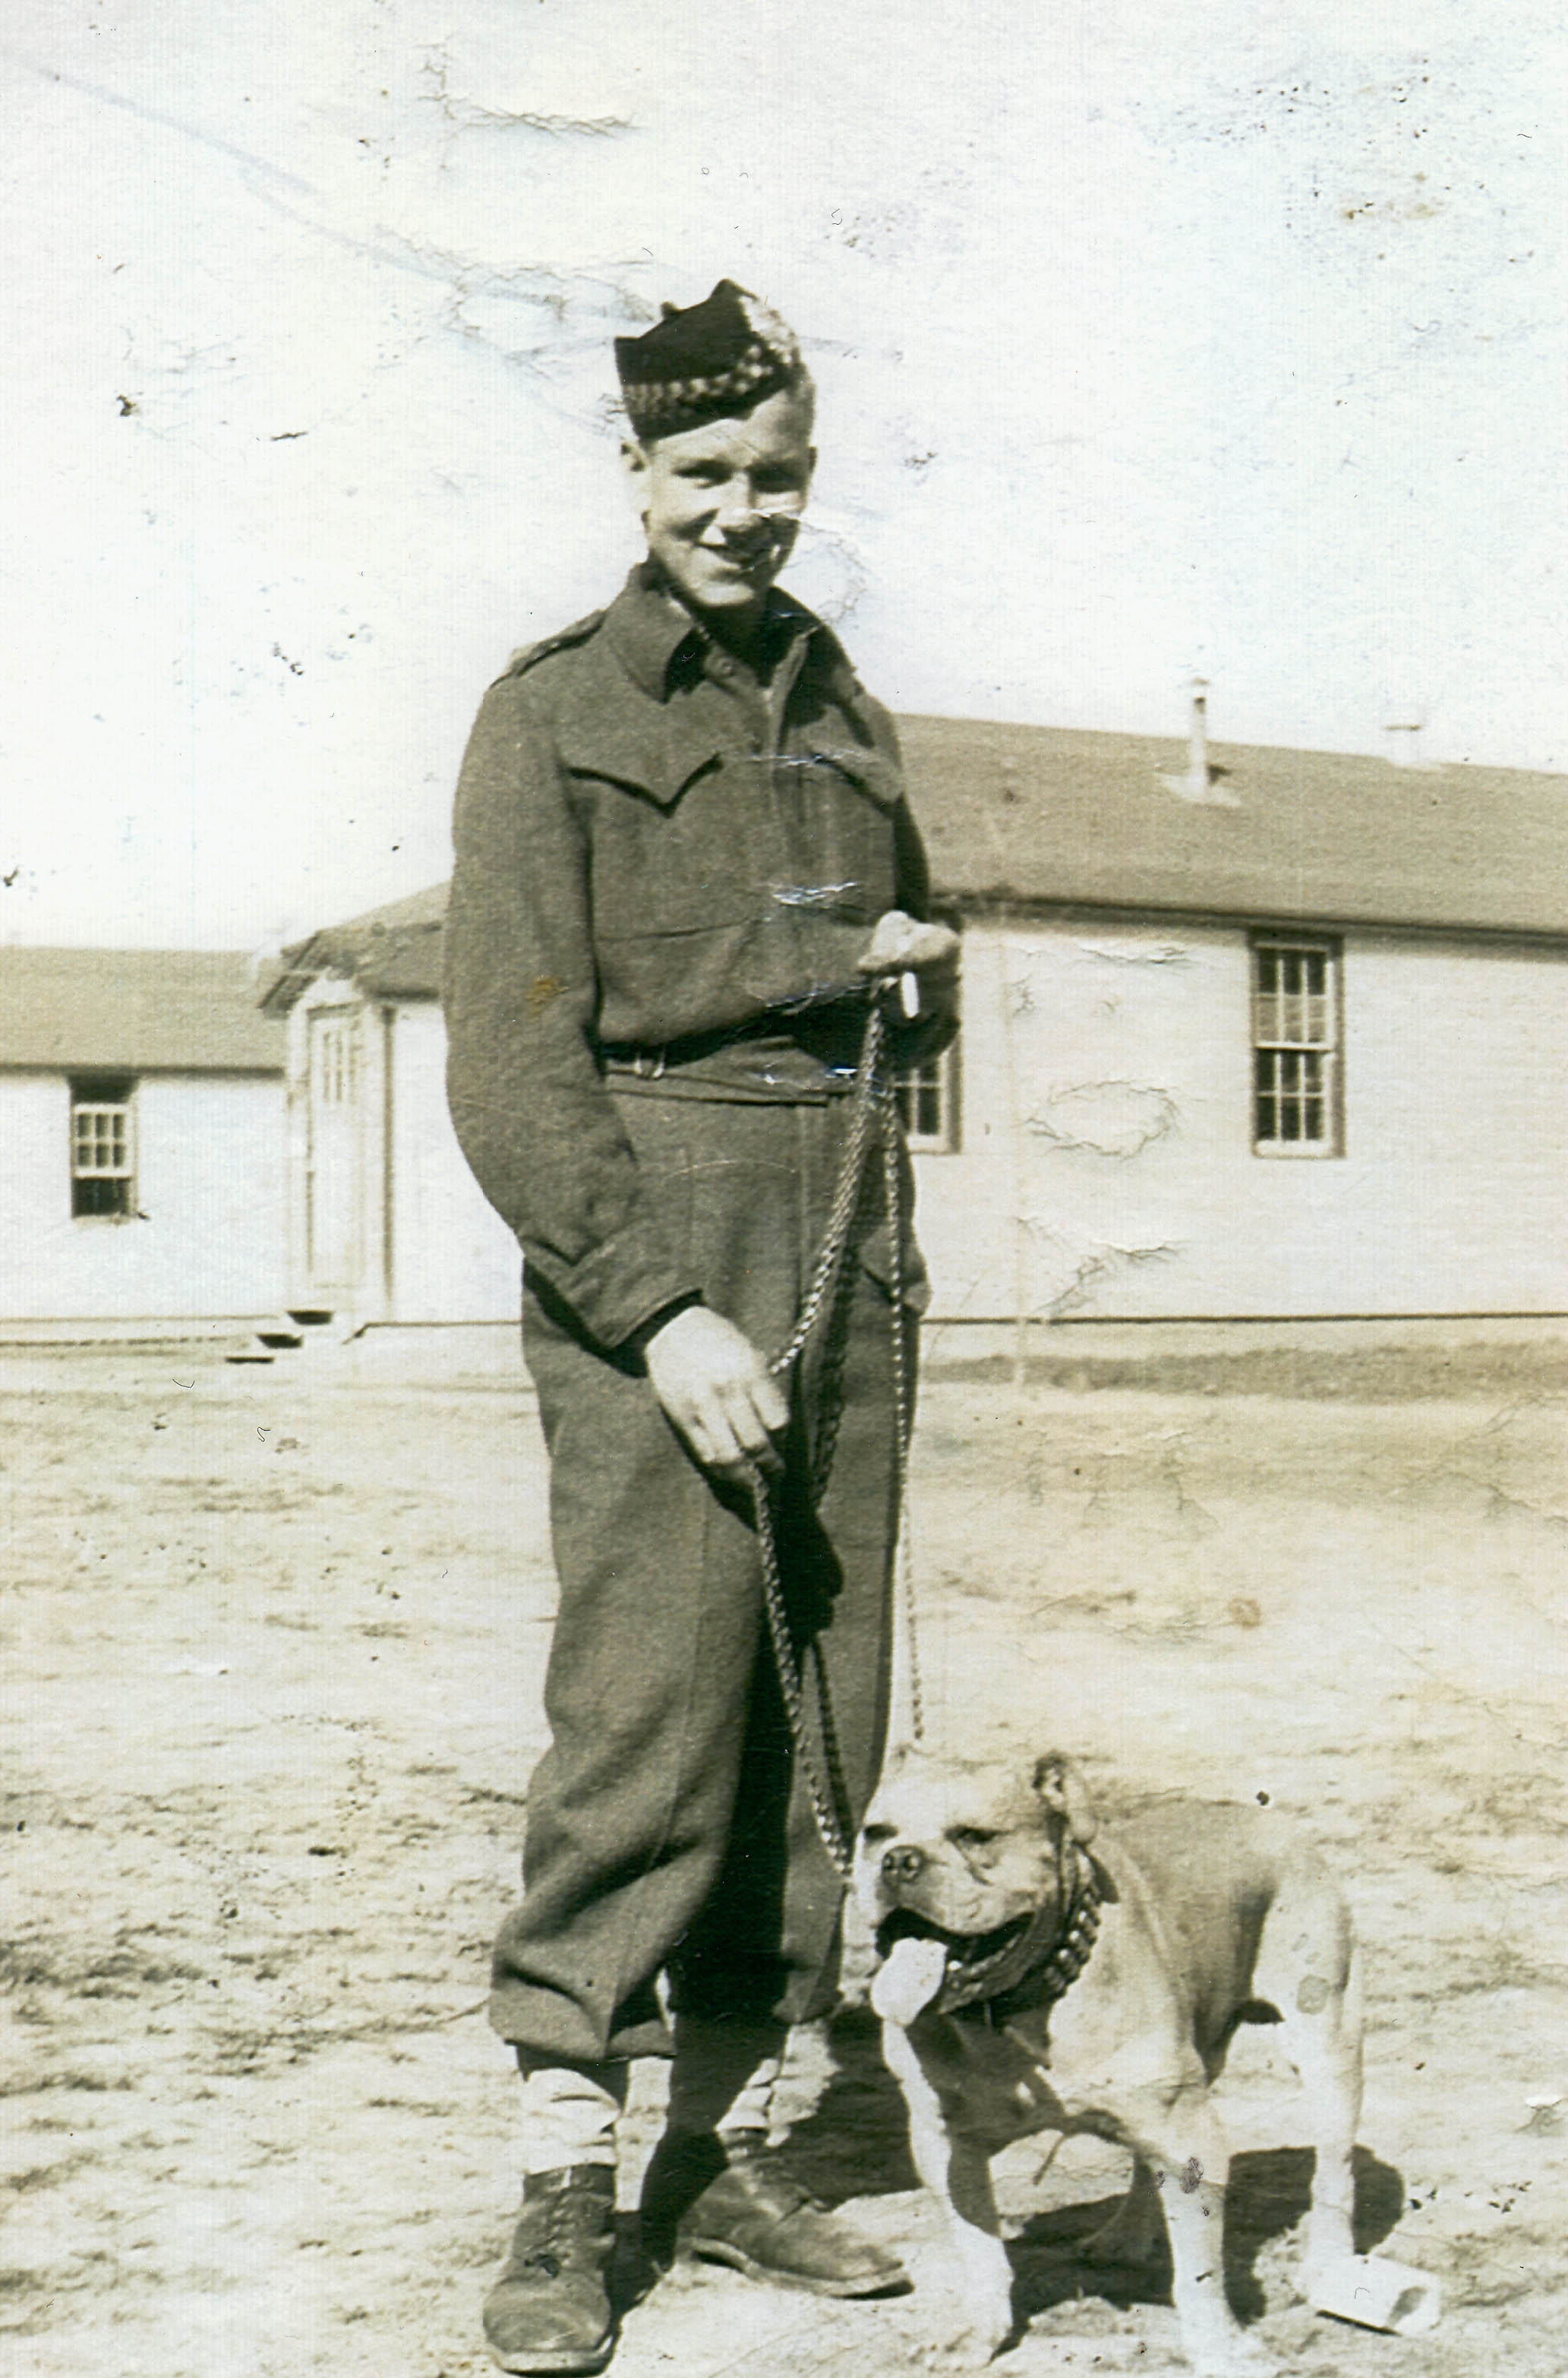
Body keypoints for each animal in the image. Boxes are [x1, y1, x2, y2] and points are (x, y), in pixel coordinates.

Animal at [855, 1740, 1358, 2368]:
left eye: (974, 1836)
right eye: (875, 1833)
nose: (897, 1861)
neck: (1019, 2002)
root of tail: (1263, 1815)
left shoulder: (1188, 2132)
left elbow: (1199, 2270)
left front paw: (1218, 2346)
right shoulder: (945, 2144)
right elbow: (979, 2250)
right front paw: (979, 2332)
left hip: (1327, 2045)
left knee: (1335, 2167)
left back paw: (1331, 2267)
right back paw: (1125, 2236)